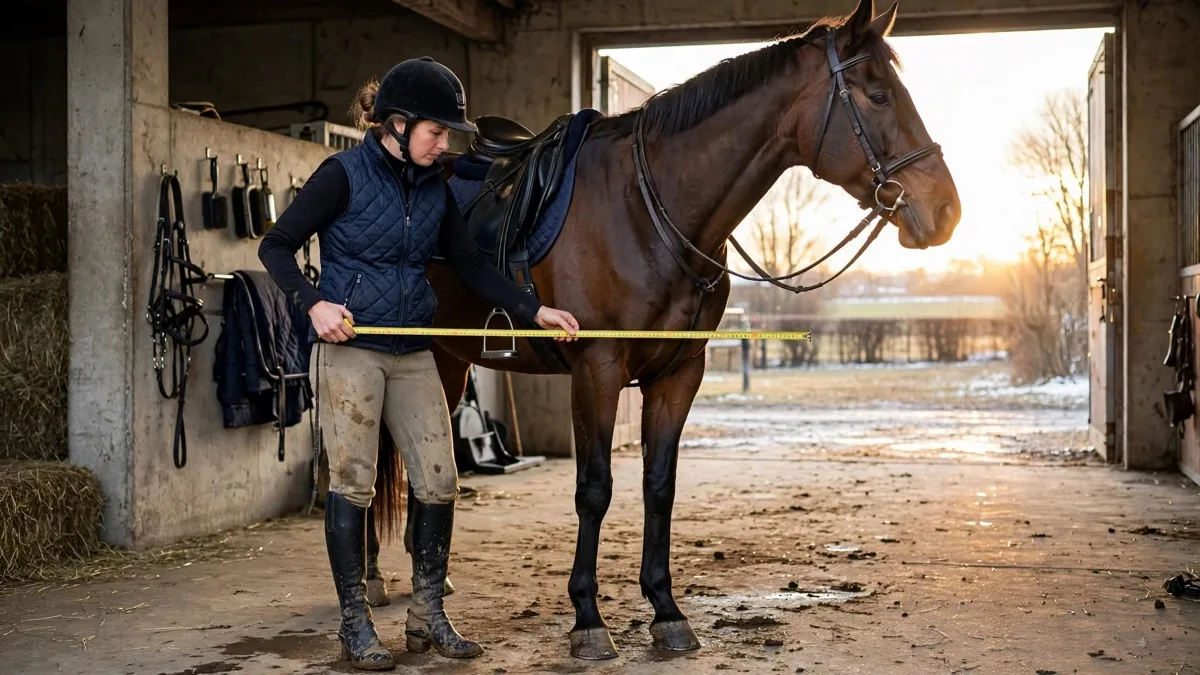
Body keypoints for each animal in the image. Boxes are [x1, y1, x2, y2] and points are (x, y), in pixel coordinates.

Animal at [371, 0, 960, 660]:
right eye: (879, 96)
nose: (945, 211)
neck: (649, 210)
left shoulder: (679, 374)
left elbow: (659, 485)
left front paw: (666, 610)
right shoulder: (596, 370)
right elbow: (595, 488)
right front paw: (588, 620)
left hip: (445, 361)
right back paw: (370, 583)